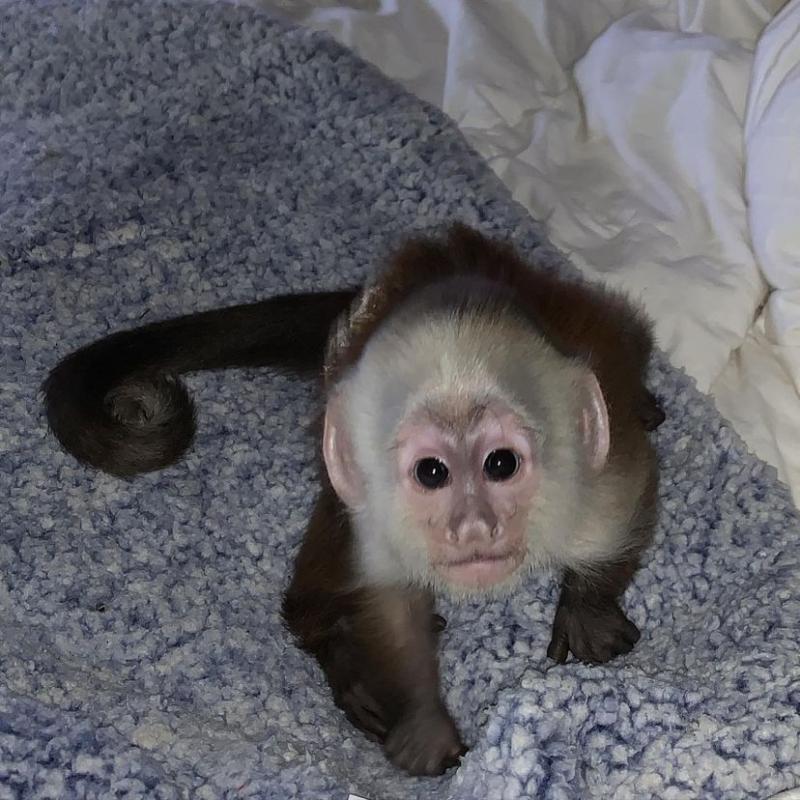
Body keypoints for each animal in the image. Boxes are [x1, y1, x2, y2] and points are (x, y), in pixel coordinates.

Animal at [43, 224, 663, 776]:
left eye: (501, 464)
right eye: (431, 472)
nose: (472, 526)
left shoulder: (595, 479)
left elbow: (628, 504)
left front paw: (588, 610)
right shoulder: (373, 508)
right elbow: (385, 608)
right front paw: (420, 721)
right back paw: (334, 648)